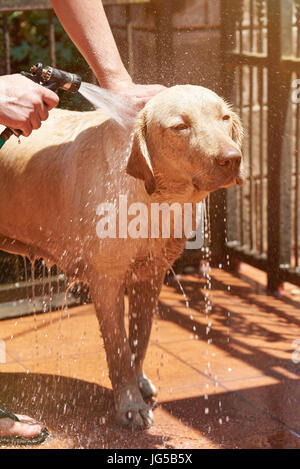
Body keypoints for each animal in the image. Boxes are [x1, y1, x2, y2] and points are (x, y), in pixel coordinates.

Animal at [0, 83, 244, 428]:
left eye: (224, 118)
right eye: (180, 126)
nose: (233, 159)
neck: (153, 201)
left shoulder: (151, 274)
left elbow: (140, 337)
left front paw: (138, 382)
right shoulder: (106, 279)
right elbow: (117, 347)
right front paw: (130, 405)